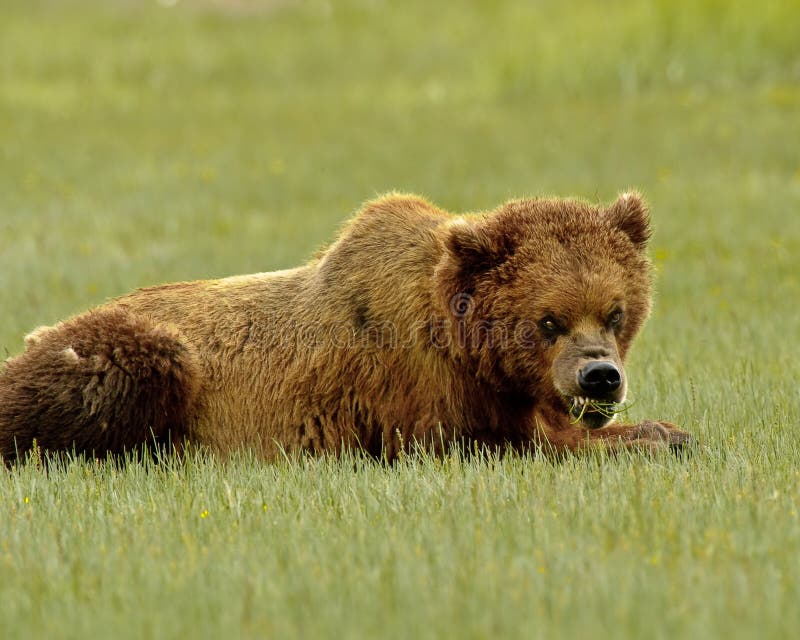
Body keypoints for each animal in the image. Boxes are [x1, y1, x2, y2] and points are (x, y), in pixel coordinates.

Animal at [0, 190, 688, 460]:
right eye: (548, 320)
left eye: (616, 311)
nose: (600, 377)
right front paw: (651, 440)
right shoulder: (416, 389)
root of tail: (34, 333)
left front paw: (663, 430)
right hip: (131, 352)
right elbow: (501, 442)